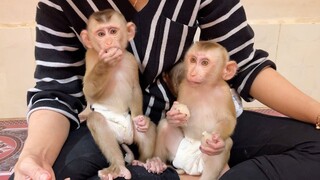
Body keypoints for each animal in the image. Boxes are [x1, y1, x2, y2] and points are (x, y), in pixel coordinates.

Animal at [80, 9, 155, 180]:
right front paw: (105, 64)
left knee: (145, 130)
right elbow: (88, 92)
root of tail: (124, 138)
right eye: (101, 34)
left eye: (113, 31)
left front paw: (140, 118)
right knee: (97, 121)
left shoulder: (131, 60)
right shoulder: (91, 56)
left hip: (132, 131)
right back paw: (118, 166)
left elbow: (135, 88)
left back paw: (144, 161)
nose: (108, 42)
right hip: (113, 130)